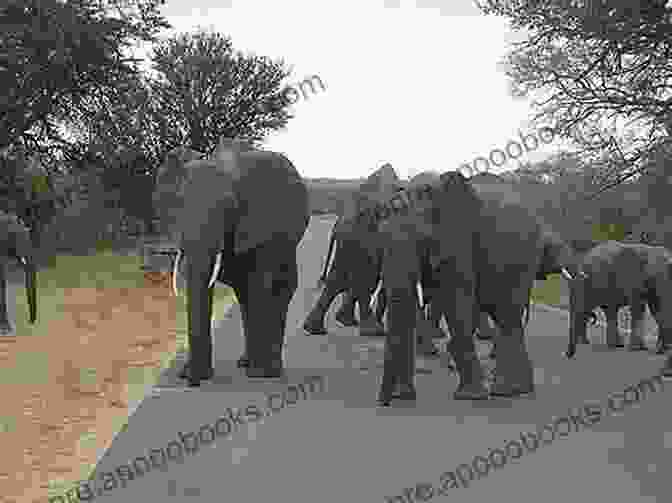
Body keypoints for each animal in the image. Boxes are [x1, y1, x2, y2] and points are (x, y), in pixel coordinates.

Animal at [154, 137, 308, 386]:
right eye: (178, 205)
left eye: (230, 208)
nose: (192, 381)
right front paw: (192, 373)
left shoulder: (263, 226)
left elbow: (260, 284)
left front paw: (258, 374)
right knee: (244, 293)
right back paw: (246, 363)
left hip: (285, 246)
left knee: (276, 290)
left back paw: (267, 370)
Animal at [372, 171, 588, 408]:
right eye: (380, 239)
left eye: (423, 239)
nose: (384, 403)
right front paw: (404, 396)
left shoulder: (460, 242)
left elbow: (456, 303)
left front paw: (470, 396)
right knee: (504, 315)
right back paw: (515, 389)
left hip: (521, 259)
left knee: (508, 315)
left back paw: (508, 391)